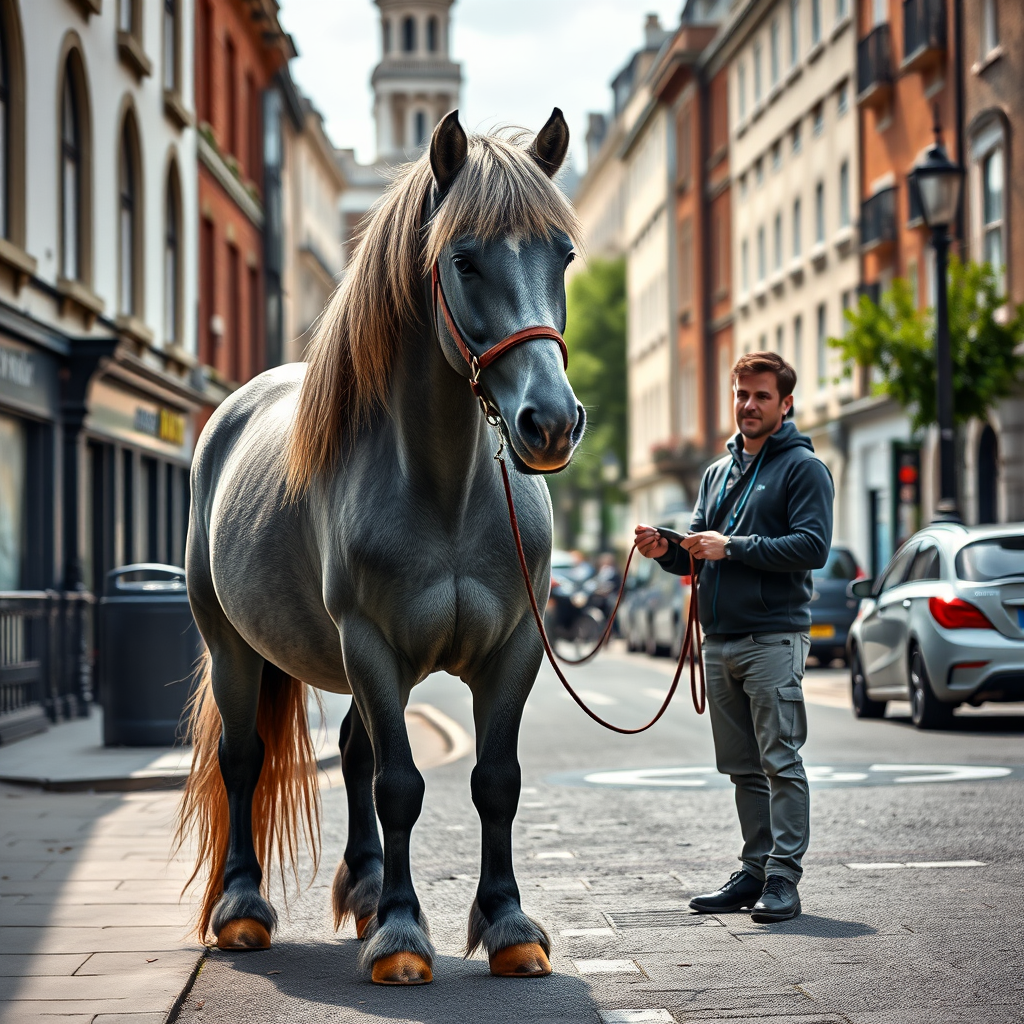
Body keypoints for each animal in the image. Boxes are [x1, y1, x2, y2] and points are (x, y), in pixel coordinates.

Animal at [175, 109, 586, 986]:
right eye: (464, 259)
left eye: (563, 255)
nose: (550, 422)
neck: (445, 490)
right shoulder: (370, 644)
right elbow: (401, 785)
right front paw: (401, 931)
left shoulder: (513, 649)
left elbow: (495, 781)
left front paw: (507, 924)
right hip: (236, 646)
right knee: (243, 757)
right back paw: (244, 906)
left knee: (354, 752)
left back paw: (364, 887)